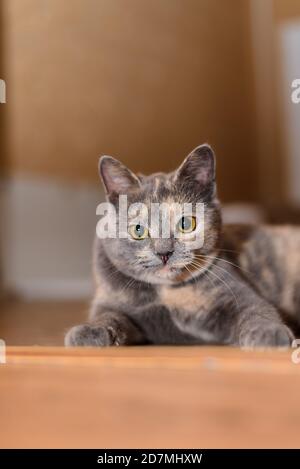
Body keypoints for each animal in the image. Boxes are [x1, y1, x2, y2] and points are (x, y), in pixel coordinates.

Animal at [64, 144, 296, 346]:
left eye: (186, 224)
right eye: (138, 229)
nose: (164, 252)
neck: (168, 294)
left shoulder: (234, 294)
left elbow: (256, 309)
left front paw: (269, 333)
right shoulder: (110, 300)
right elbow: (108, 315)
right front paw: (88, 331)